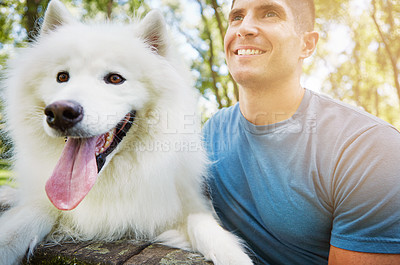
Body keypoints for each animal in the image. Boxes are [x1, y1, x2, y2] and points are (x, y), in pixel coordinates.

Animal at [0, 1, 252, 262]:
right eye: (62, 77)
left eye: (114, 79)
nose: (60, 112)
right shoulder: (46, 203)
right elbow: (22, 220)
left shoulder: (188, 204)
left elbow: (202, 224)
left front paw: (232, 255)